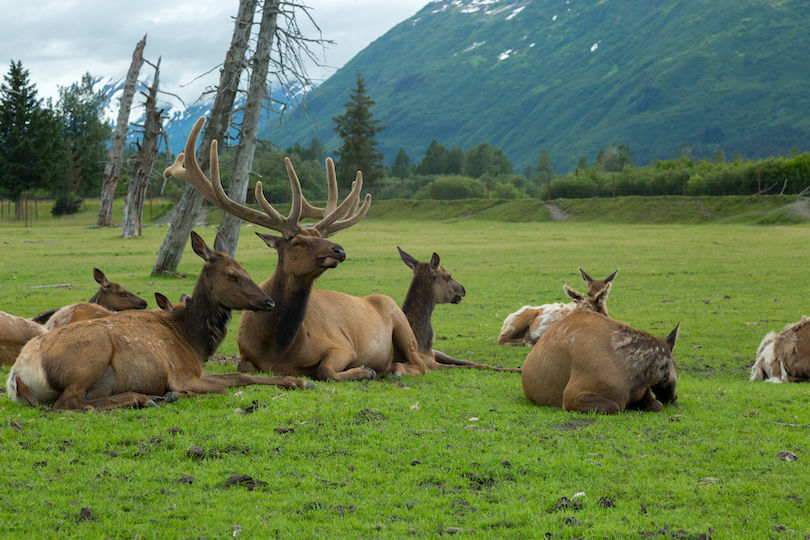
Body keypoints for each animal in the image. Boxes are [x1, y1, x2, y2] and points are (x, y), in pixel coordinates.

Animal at [6, 230, 312, 412]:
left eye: (245, 269)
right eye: (232, 275)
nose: (269, 302)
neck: (192, 341)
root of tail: (17, 376)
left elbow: (242, 376)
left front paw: (300, 381)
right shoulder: (183, 374)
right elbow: (225, 386)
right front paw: (175, 394)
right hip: (92, 354)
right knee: (67, 403)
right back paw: (144, 398)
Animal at [164, 116, 436, 382]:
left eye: (319, 236)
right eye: (297, 242)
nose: (339, 250)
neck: (278, 347)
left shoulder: (343, 346)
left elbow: (326, 371)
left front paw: (364, 370)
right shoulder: (246, 354)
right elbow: (246, 367)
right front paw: (365, 371)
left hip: (401, 322)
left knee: (421, 363)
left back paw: (393, 369)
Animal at [492, 266, 620, 346]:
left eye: (605, 292)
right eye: (588, 292)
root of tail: (506, 321)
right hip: (518, 323)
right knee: (500, 340)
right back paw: (530, 341)